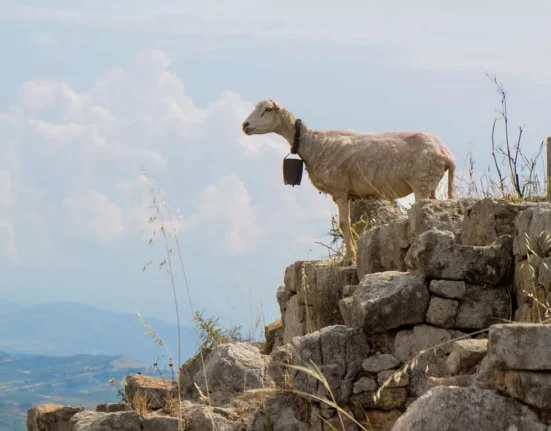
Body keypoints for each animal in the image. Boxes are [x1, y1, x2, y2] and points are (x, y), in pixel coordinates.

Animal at [243, 99, 458, 264]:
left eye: (267, 110)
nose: (244, 125)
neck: (313, 144)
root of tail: (446, 153)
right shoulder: (347, 193)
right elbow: (350, 224)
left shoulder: (340, 190)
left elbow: (344, 224)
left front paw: (348, 259)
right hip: (430, 183)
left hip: (421, 181)